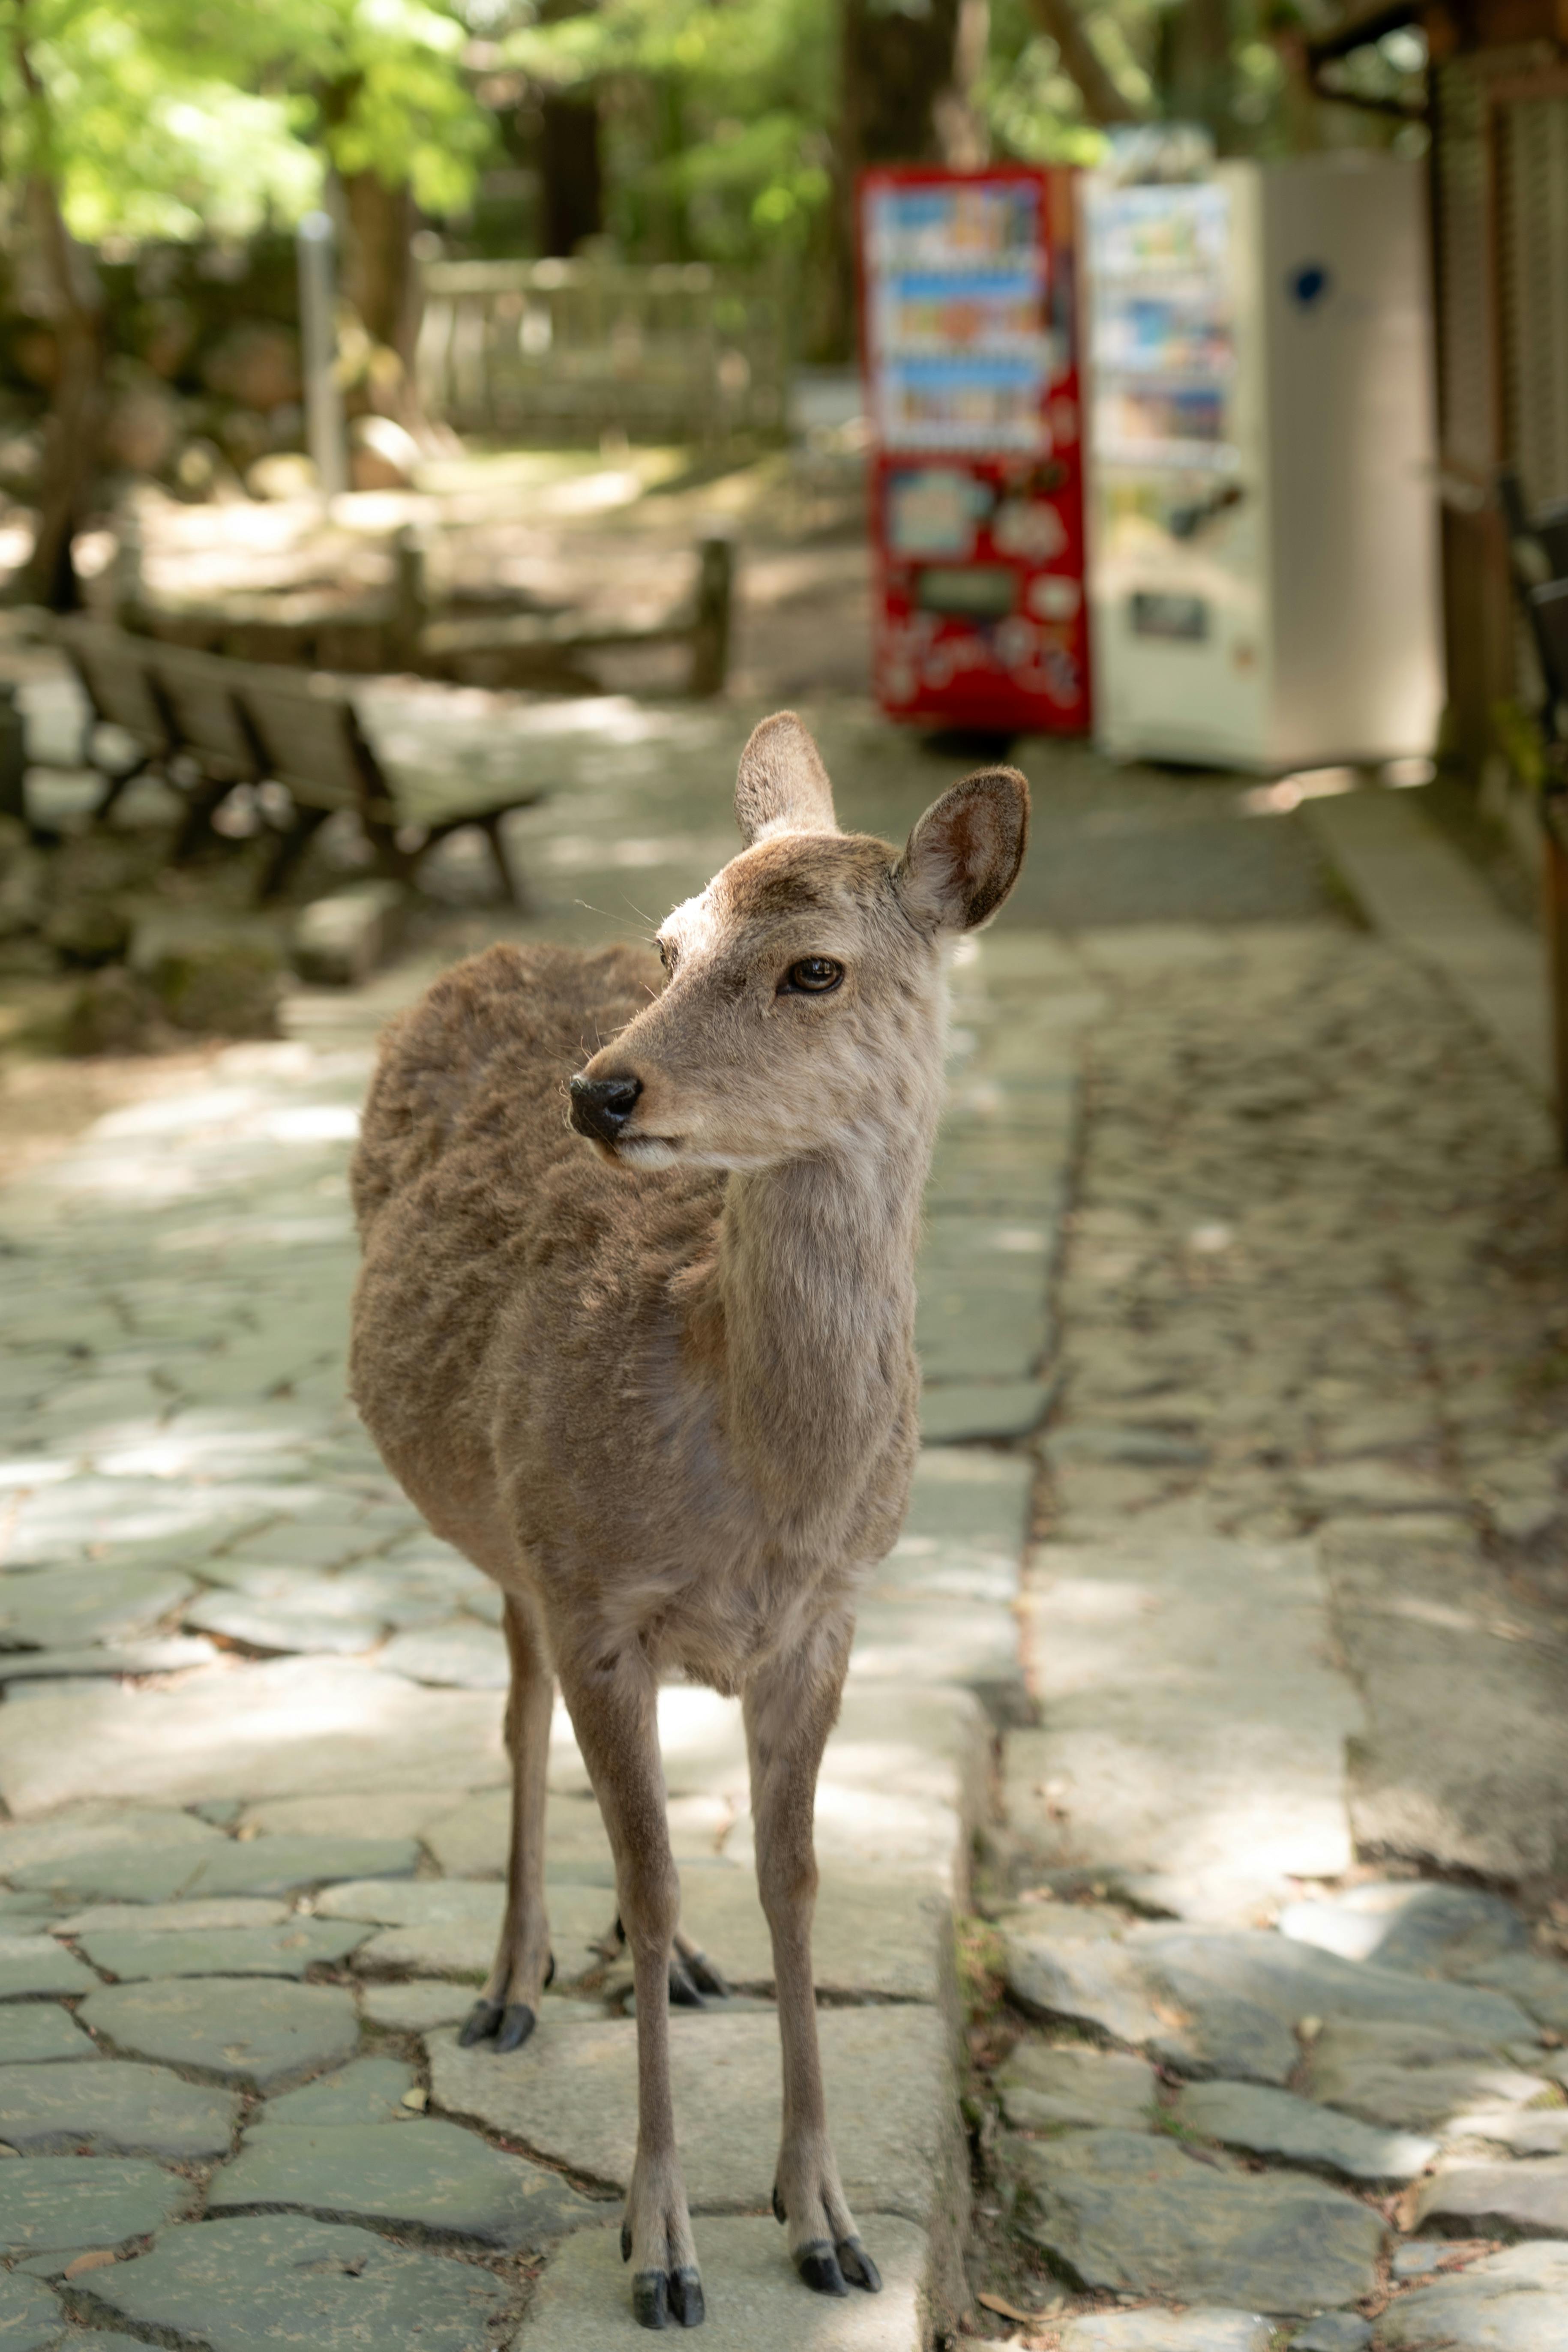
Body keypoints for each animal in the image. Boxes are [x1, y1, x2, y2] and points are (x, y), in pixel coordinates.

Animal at [348, 713, 1028, 2331]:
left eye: (814, 967)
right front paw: (659, 2243)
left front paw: (825, 2217)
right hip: (507, 1528)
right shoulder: (591, 1582)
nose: (599, 1092)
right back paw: (509, 1980)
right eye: (671, 941)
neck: (760, 1480)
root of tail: (492, 949)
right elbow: (650, 1875)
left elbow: (793, 1879)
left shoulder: (828, 1613)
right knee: (519, 1714)